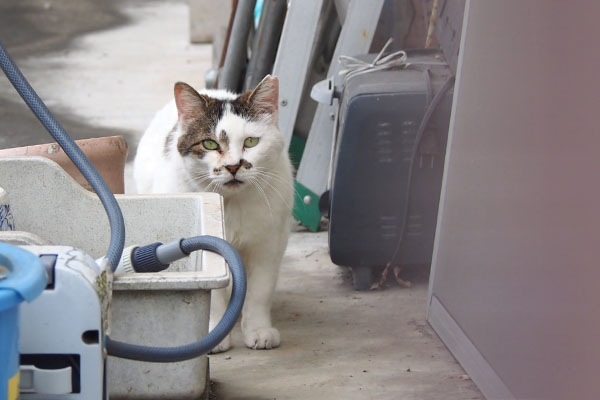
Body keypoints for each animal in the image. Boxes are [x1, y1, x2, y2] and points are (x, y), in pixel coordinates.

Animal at [135, 75, 296, 350]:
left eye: (251, 142)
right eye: (210, 144)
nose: (233, 166)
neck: (230, 205)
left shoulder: (269, 244)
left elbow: (260, 291)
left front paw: (258, 330)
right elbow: (212, 291)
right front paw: (213, 333)